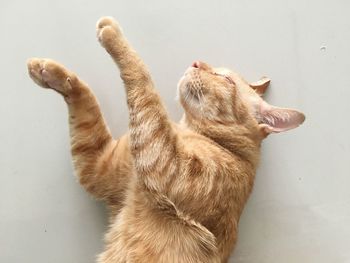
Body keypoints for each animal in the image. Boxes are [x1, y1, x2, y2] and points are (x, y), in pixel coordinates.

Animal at [26, 17, 304, 263]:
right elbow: (85, 103)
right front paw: (50, 73)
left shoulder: (166, 162)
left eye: (225, 79)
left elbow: (144, 81)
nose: (196, 62)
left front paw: (113, 35)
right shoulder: (97, 166)